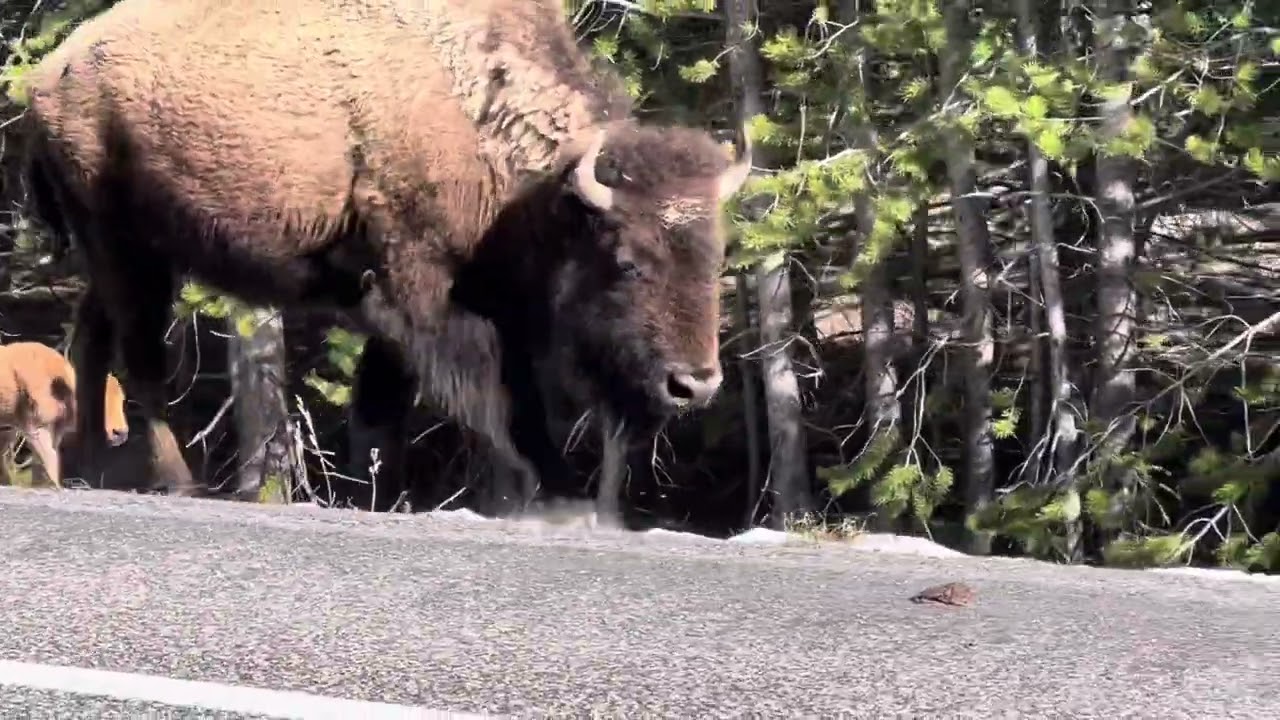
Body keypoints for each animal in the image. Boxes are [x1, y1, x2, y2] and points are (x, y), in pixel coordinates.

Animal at [15, 0, 752, 515]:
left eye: (715, 258)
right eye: (627, 260)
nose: (695, 385)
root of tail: (48, 76)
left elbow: (396, 404)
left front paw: (383, 495)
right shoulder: (422, 292)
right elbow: (487, 394)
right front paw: (545, 490)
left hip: (116, 253)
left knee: (90, 344)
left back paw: (84, 471)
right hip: (128, 250)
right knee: (142, 363)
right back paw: (177, 482)